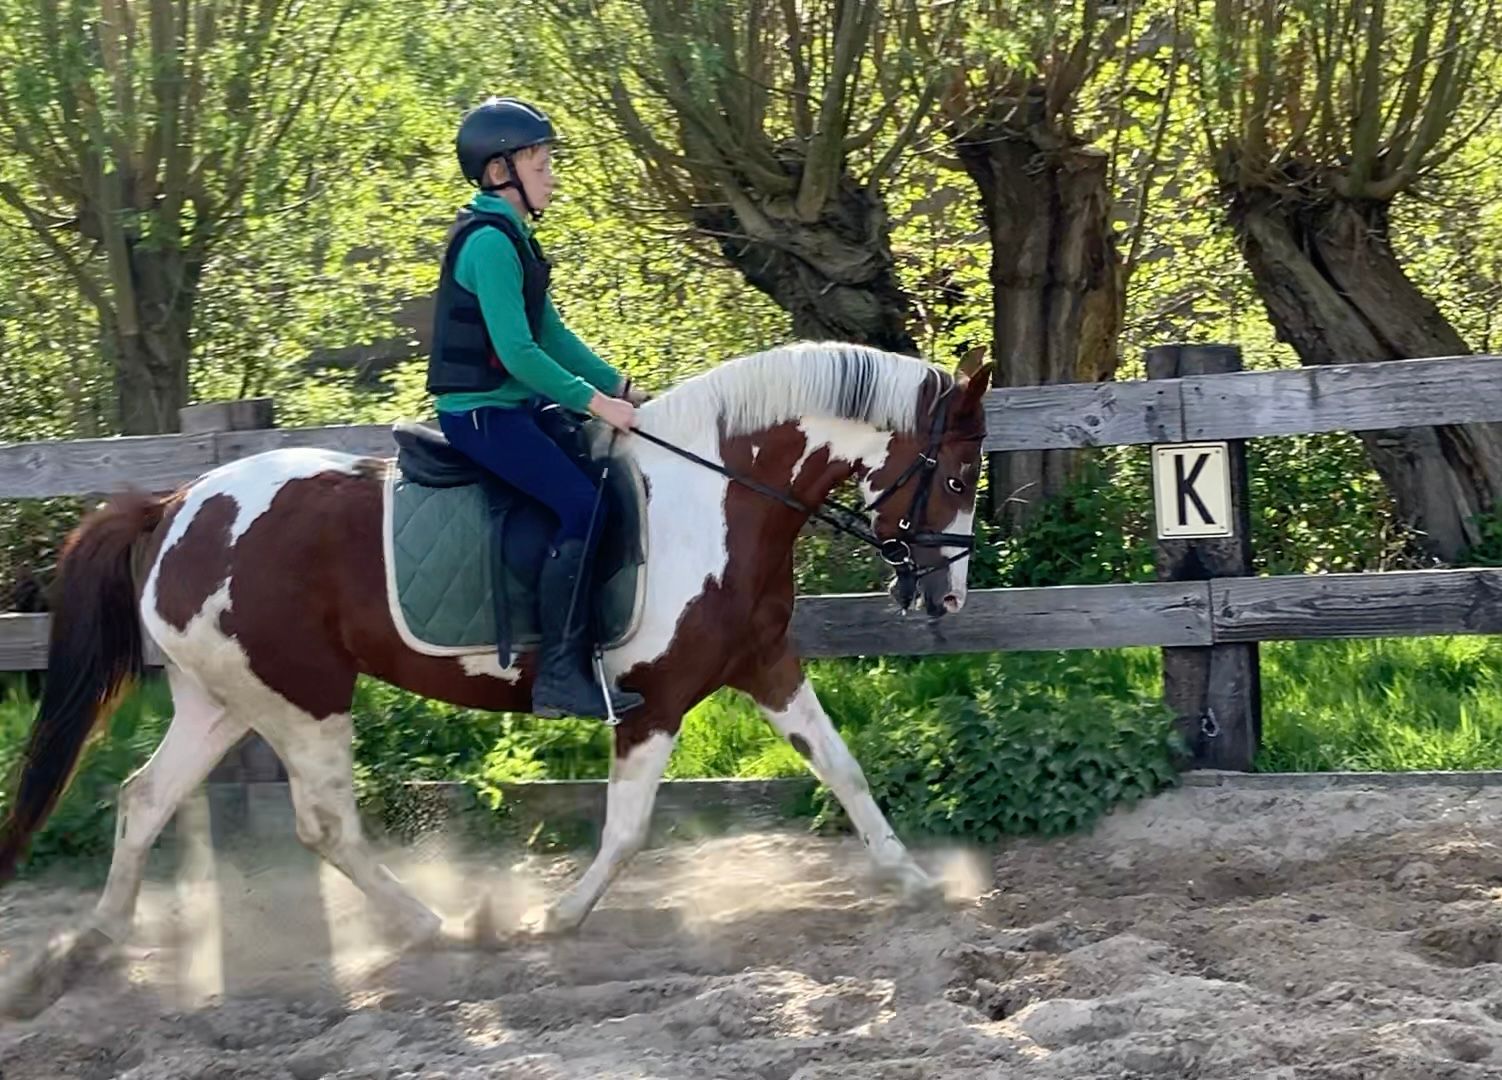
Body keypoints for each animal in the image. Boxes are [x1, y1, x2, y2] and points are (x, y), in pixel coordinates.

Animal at [0, 340, 992, 1015]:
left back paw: (84, 949)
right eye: (957, 474)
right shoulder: (657, 700)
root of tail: (177, 504)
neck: (716, 497)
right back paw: (435, 926)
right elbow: (628, 829)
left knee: (143, 799)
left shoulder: (765, 664)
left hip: (221, 702)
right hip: (302, 699)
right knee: (325, 824)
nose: (946, 595)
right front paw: (558, 917)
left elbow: (843, 769)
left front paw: (916, 882)